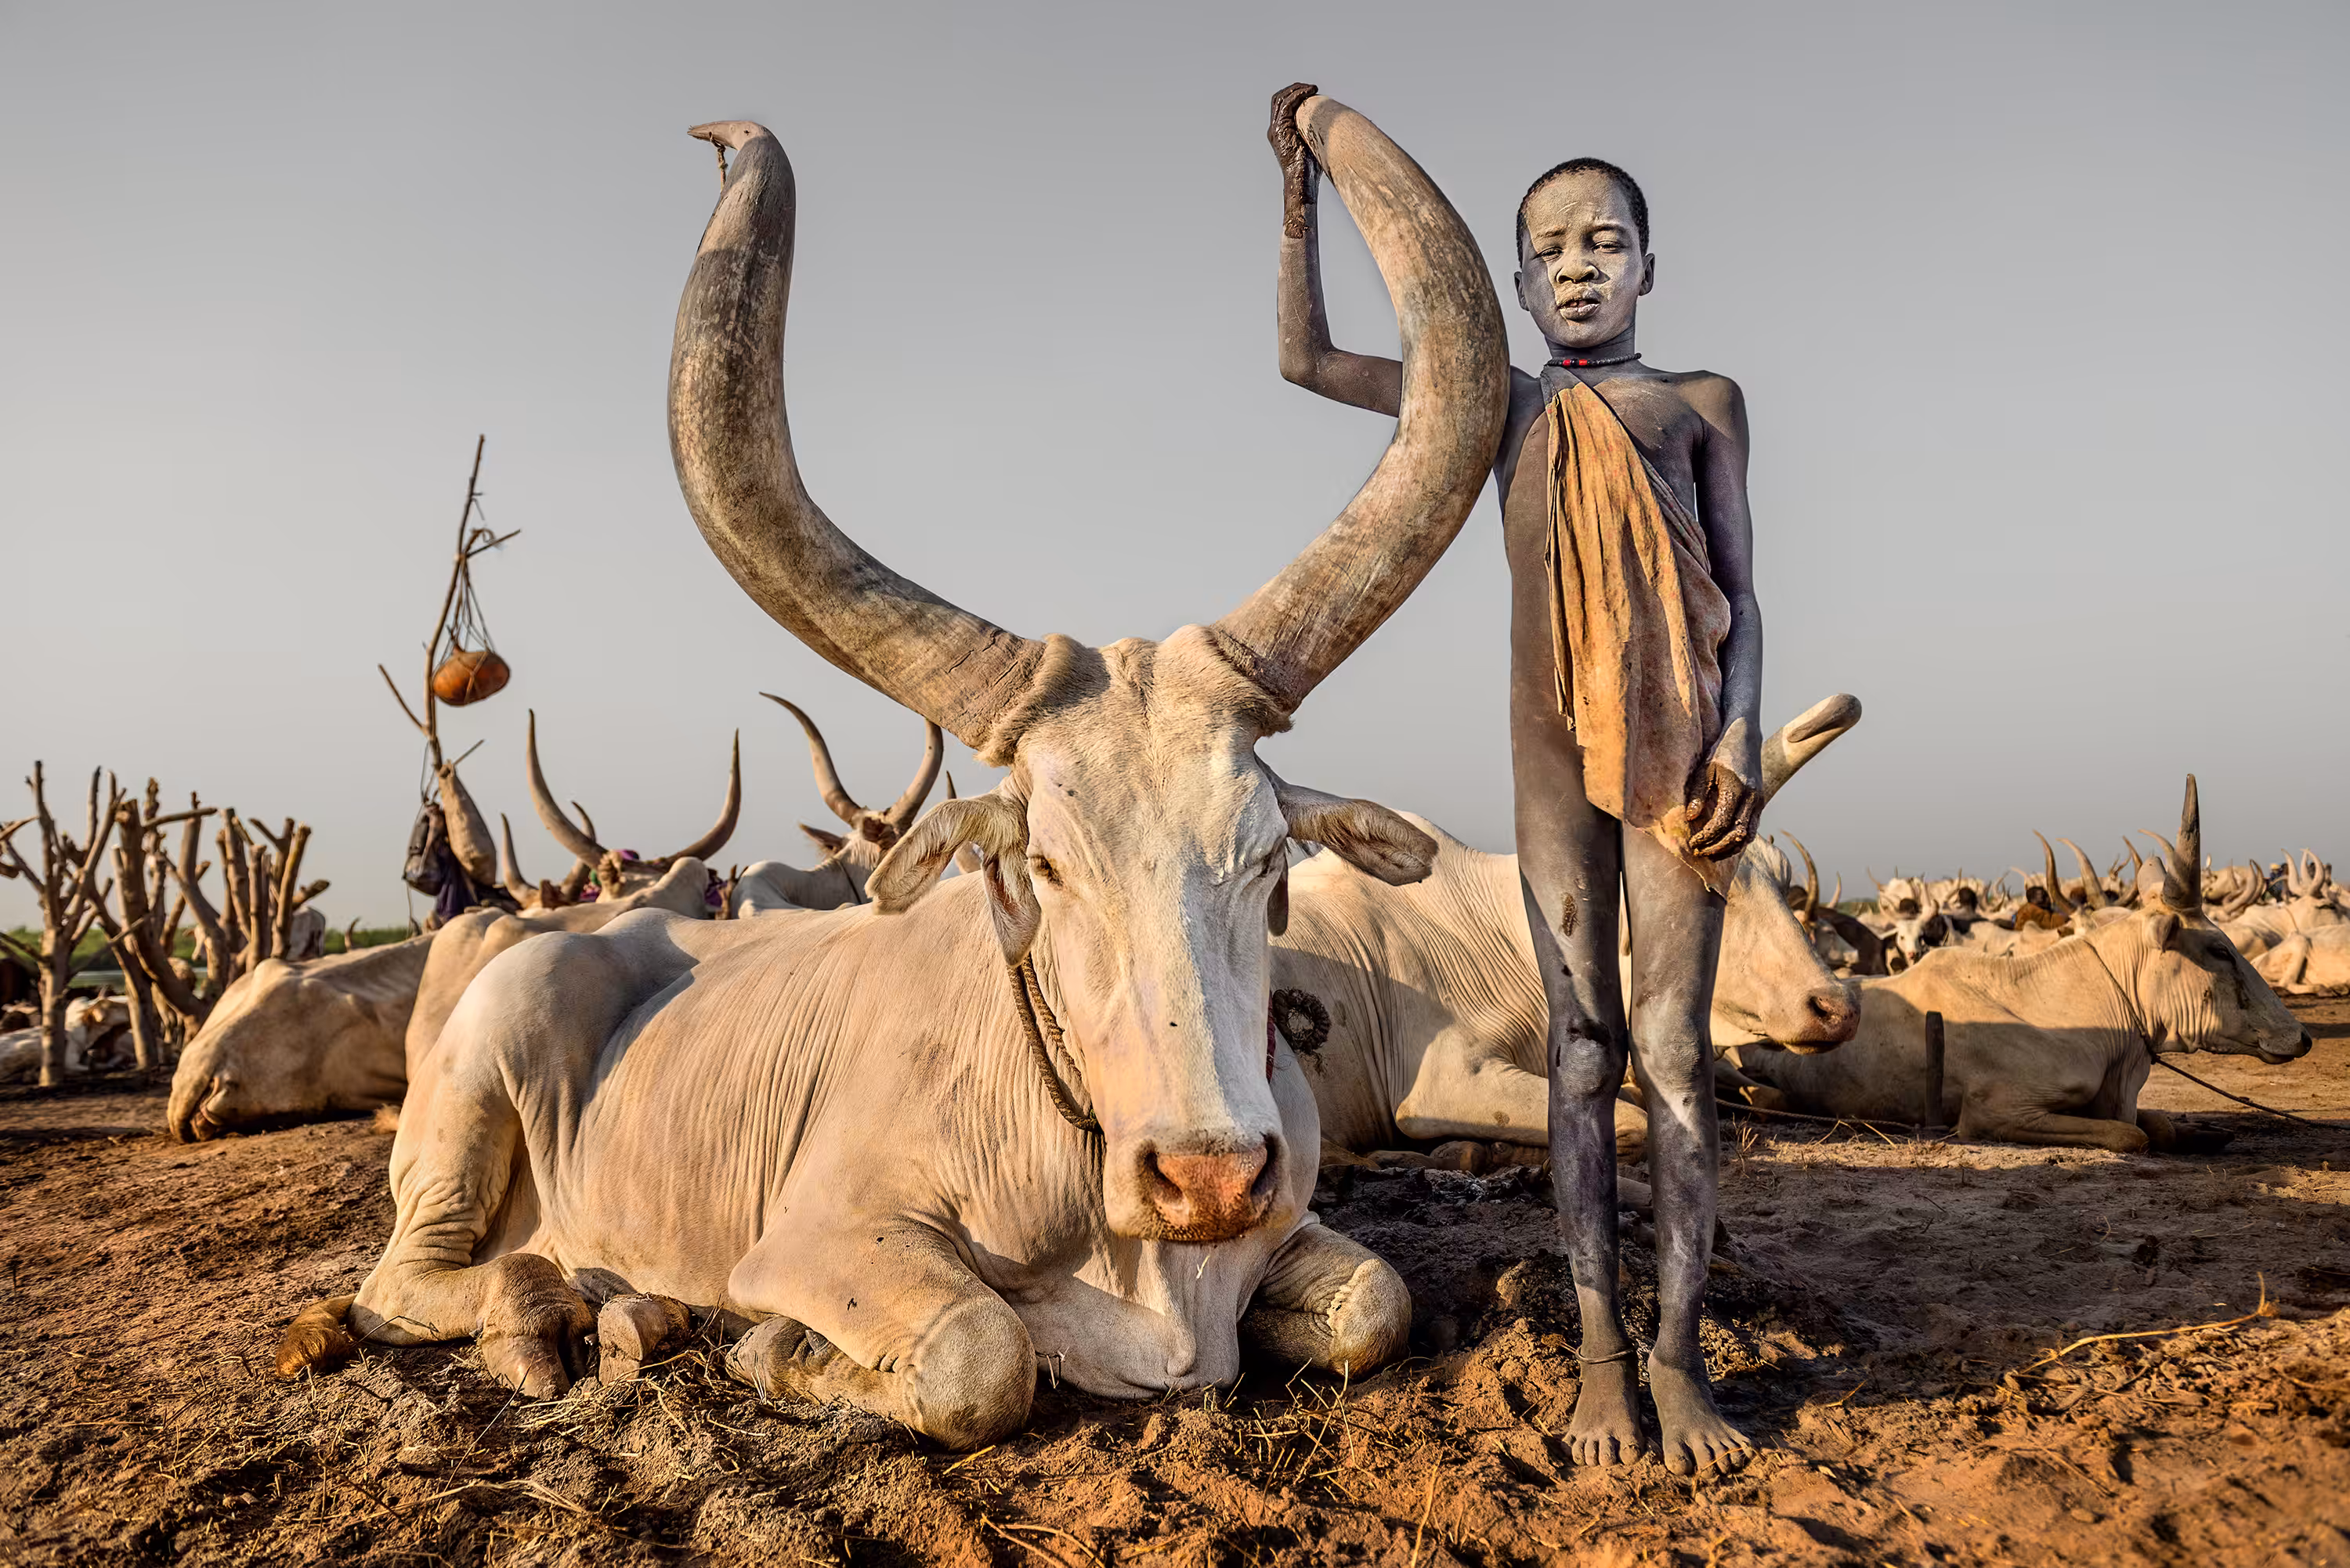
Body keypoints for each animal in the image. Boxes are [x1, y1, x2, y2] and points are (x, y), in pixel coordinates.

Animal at [274, 98, 1507, 1448]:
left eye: (1272, 856)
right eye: (1045, 866)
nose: (1206, 1174)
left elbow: (1377, 1302)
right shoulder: (823, 1239)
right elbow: (985, 1352)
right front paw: (778, 1351)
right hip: (486, 1068)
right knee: (411, 1279)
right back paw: (566, 1304)